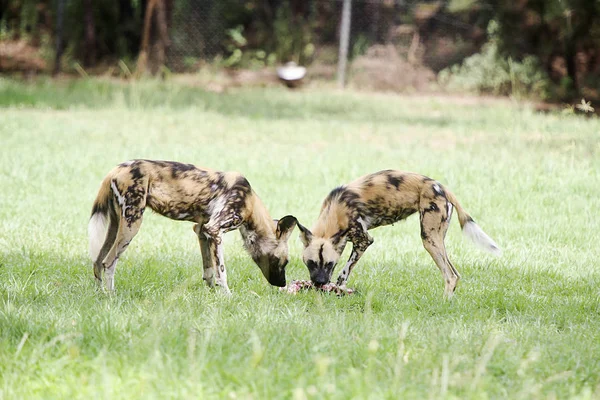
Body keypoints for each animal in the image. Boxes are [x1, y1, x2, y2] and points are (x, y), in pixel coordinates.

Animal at [88, 159, 298, 294]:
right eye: (285, 261)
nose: (282, 284)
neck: (250, 203)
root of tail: (116, 169)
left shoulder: (202, 231)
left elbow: (209, 271)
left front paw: (211, 295)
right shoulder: (215, 230)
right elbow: (221, 272)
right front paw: (227, 296)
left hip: (116, 225)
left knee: (97, 261)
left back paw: (100, 295)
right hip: (132, 224)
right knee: (108, 263)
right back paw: (112, 296)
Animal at [296, 169, 502, 296]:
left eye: (329, 264)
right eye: (311, 263)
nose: (320, 283)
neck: (336, 209)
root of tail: (442, 187)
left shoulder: (364, 241)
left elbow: (344, 272)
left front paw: (338, 290)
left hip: (429, 239)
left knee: (450, 276)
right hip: (437, 239)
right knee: (455, 274)